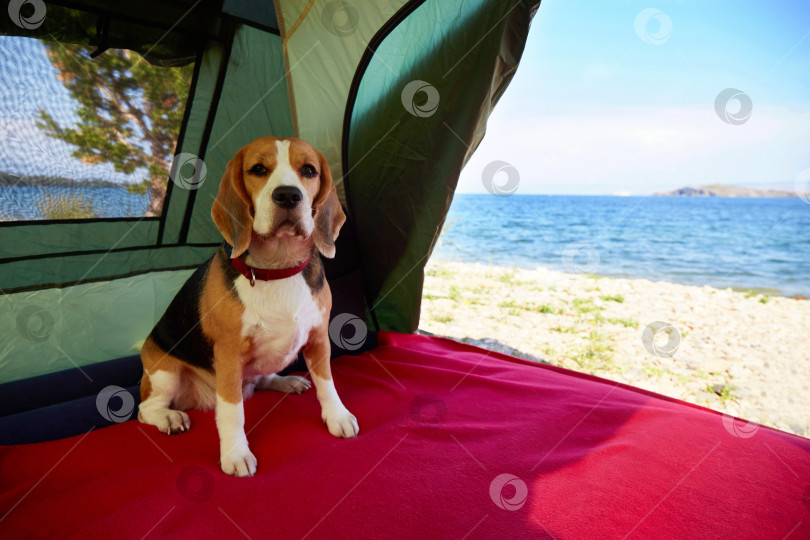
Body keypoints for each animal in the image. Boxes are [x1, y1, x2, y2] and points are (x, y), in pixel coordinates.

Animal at [138, 136, 356, 476]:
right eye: (258, 169)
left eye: (309, 170)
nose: (288, 195)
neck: (278, 268)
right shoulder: (228, 356)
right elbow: (232, 412)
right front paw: (235, 454)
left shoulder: (319, 339)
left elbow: (327, 384)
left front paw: (337, 416)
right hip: (165, 374)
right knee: (145, 408)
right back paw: (169, 417)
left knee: (262, 377)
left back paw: (285, 381)